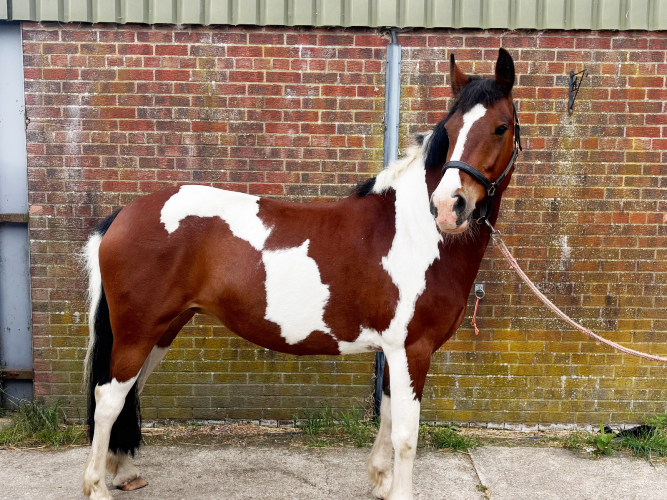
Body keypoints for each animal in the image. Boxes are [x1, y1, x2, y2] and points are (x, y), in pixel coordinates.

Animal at [81, 48, 521, 500]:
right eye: (449, 130)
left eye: (500, 127)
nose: (449, 207)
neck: (413, 229)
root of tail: (122, 216)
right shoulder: (411, 350)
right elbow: (406, 435)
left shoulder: (395, 350)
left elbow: (385, 415)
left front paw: (380, 481)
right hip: (139, 333)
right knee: (109, 399)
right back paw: (96, 486)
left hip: (162, 330)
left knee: (128, 393)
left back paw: (124, 473)